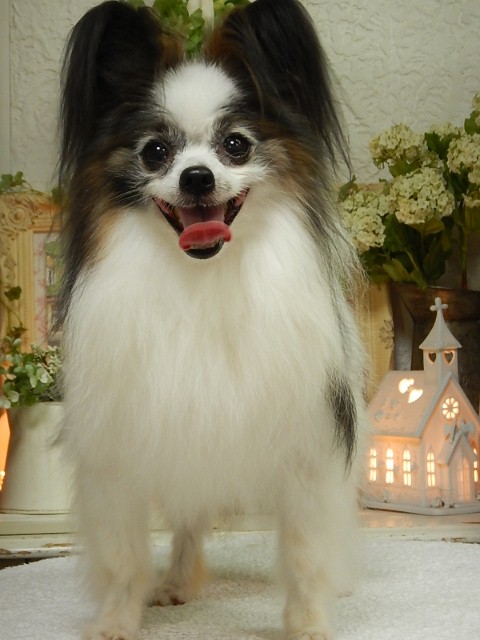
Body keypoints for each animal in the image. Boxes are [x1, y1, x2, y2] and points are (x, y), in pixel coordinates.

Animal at [58, 1, 366, 638]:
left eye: (235, 145)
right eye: (155, 152)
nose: (196, 177)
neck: (203, 279)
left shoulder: (308, 450)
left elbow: (305, 551)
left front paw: (307, 623)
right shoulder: (121, 451)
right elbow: (123, 557)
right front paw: (116, 622)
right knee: (189, 520)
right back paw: (178, 583)